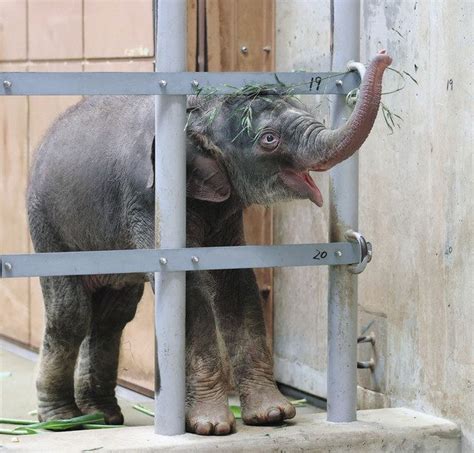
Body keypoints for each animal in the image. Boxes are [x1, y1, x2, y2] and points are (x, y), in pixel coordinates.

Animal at [27, 51, 390, 432]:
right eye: (269, 139)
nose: (383, 57)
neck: (198, 109)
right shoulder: (147, 201)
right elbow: (191, 288)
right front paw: (212, 426)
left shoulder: (224, 211)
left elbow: (236, 283)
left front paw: (272, 415)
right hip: (47, 225)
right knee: (71, 313)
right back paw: (63, 421)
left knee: (114, 313)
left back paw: (104, 416)